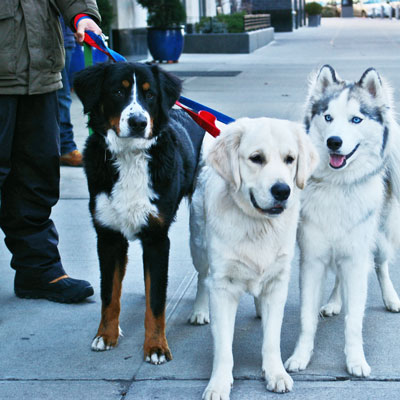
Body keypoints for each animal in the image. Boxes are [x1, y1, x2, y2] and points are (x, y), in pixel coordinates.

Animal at [74, 61, 205, 362]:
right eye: (117, 92)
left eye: (150, 95)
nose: (138, 122)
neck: (130, 157)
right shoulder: (108, 236)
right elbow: (109, 294)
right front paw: (106, 336)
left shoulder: (157, 238)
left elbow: (156, 302)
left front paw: (156, 347)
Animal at [190, 117, 318, 398]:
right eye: (256, 158)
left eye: (290, 159)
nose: (282, 190)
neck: (258, 225)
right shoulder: (222, 287)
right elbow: (223, 348)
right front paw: (218, 383)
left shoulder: (278, 282)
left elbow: (272, 338)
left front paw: (275, 373)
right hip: (198, 248)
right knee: (202, 278)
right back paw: (199, 310)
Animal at [286, 65, 400, 378]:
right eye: (328, 117)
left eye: (356, 119)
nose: (333, 142)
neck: (338, 185)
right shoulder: (312, 259)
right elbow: (307, 319)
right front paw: (301, 356)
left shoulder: (357, 257)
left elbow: (354, 322)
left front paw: (355, 360)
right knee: (338, 275)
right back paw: (335, 301)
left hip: (381, 238)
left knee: (381, 265)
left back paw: (391, 298)